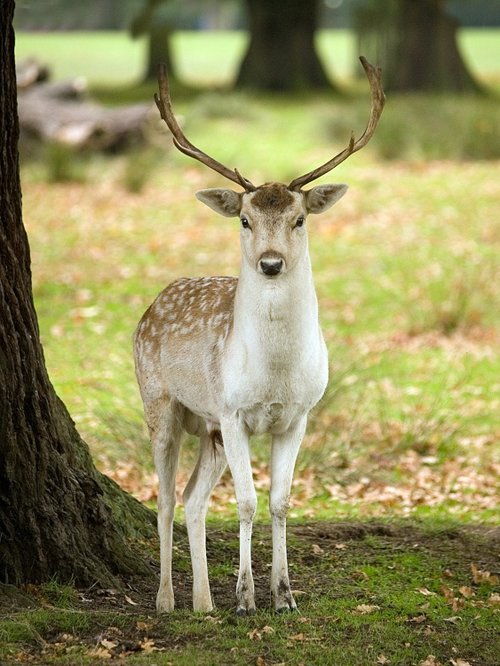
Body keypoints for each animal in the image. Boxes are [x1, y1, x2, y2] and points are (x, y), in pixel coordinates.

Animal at [133, 56, 385, 615]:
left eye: (300, 218)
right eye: (245, 220)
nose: (271, 264)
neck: (275, 377)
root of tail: (151, 304)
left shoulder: (299, 415)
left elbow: (280, 501)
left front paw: (284, 595)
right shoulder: (233, 412)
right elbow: (246, 503)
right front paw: (247, 597)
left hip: (207, 428)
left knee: (192, 499)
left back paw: (204, 603)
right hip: (159, 401)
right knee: (163, 498)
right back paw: (167, 599)